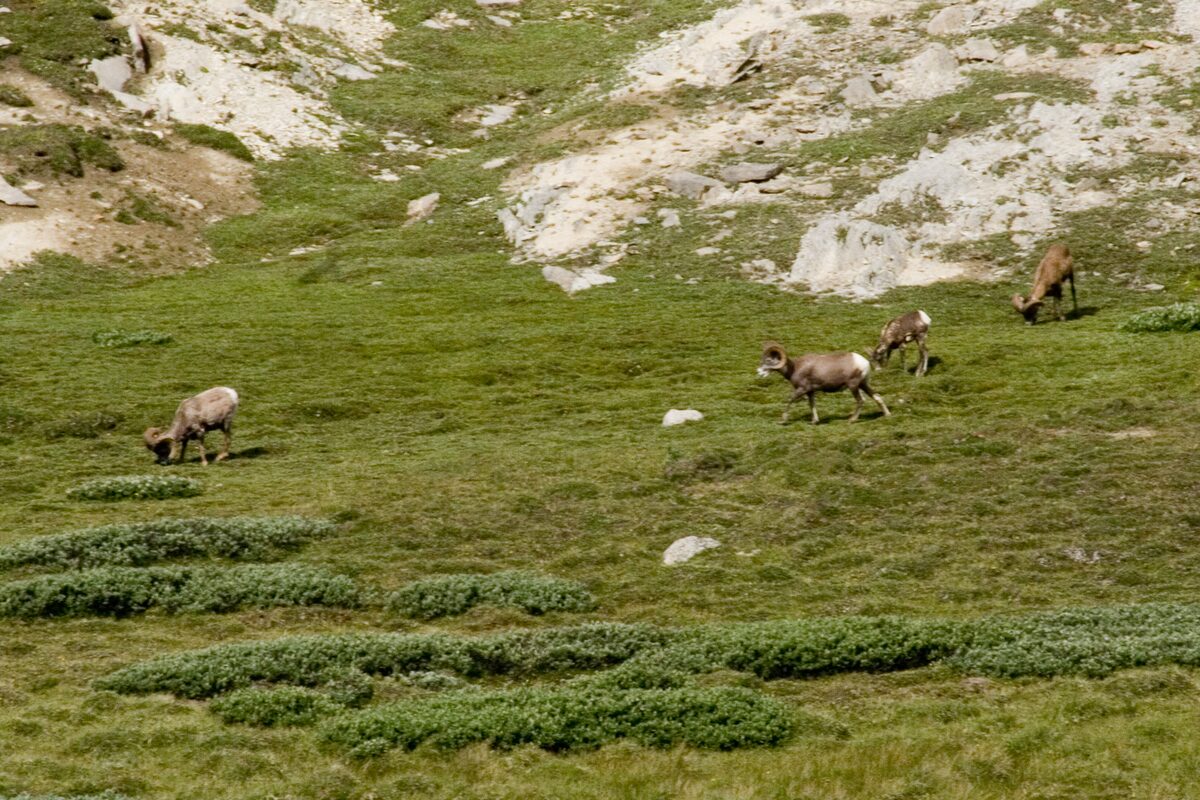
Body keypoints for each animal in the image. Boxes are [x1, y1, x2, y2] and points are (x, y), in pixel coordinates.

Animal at [757, 342, 890, 424]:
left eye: (768, 360)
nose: (759, 372)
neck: (794, 368)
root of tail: (864, 363)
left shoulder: (802, 389)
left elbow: (790, 400)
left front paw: (783, 420)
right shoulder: (810, 392)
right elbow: (812, 404)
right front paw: (814, 421)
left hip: (853, 386)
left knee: (861, 401)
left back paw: (851, 420)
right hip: (863, 384)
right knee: (877, 397)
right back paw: (887, 415)